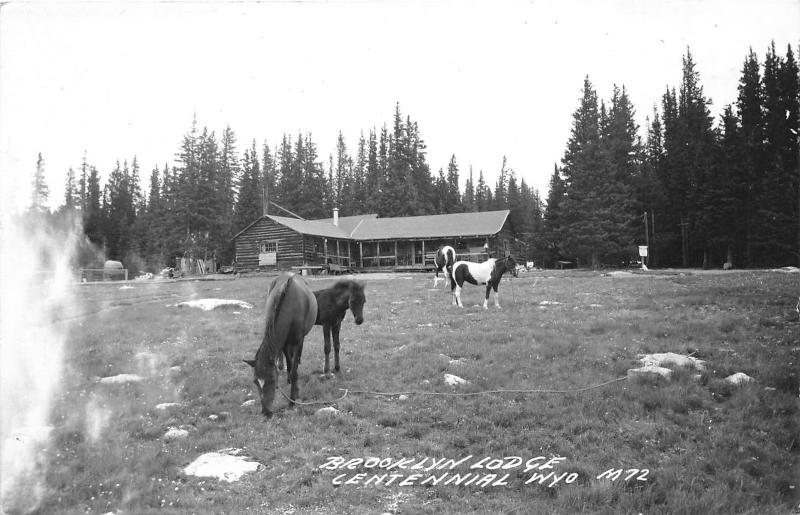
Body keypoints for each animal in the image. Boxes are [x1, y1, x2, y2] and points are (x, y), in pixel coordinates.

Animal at [245, 272, 318, 418]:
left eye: (273, 381)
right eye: (255, 382)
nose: (266, 412)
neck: (291, 308)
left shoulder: (299, 340)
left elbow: (295, 370)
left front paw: (292, 400)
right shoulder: (283, 342)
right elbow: (289, 363)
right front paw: (291, 382)